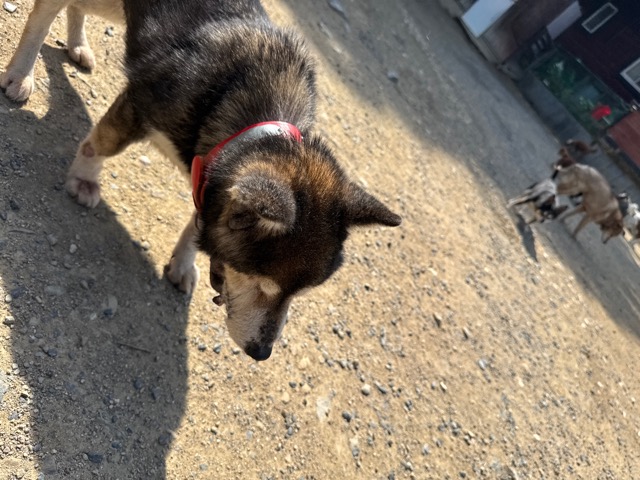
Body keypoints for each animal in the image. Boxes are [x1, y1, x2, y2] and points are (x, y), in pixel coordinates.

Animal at [2, 0, 401, 361]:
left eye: (296, 296)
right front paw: (84, 179)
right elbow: (99, 144)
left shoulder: (208, 178)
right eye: (264, 286)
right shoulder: (138, 107)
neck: (248, 118)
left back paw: (77, 44)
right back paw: (21, 73)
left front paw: (182, 263)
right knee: (45, 10)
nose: (261, 353)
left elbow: (196, 223)